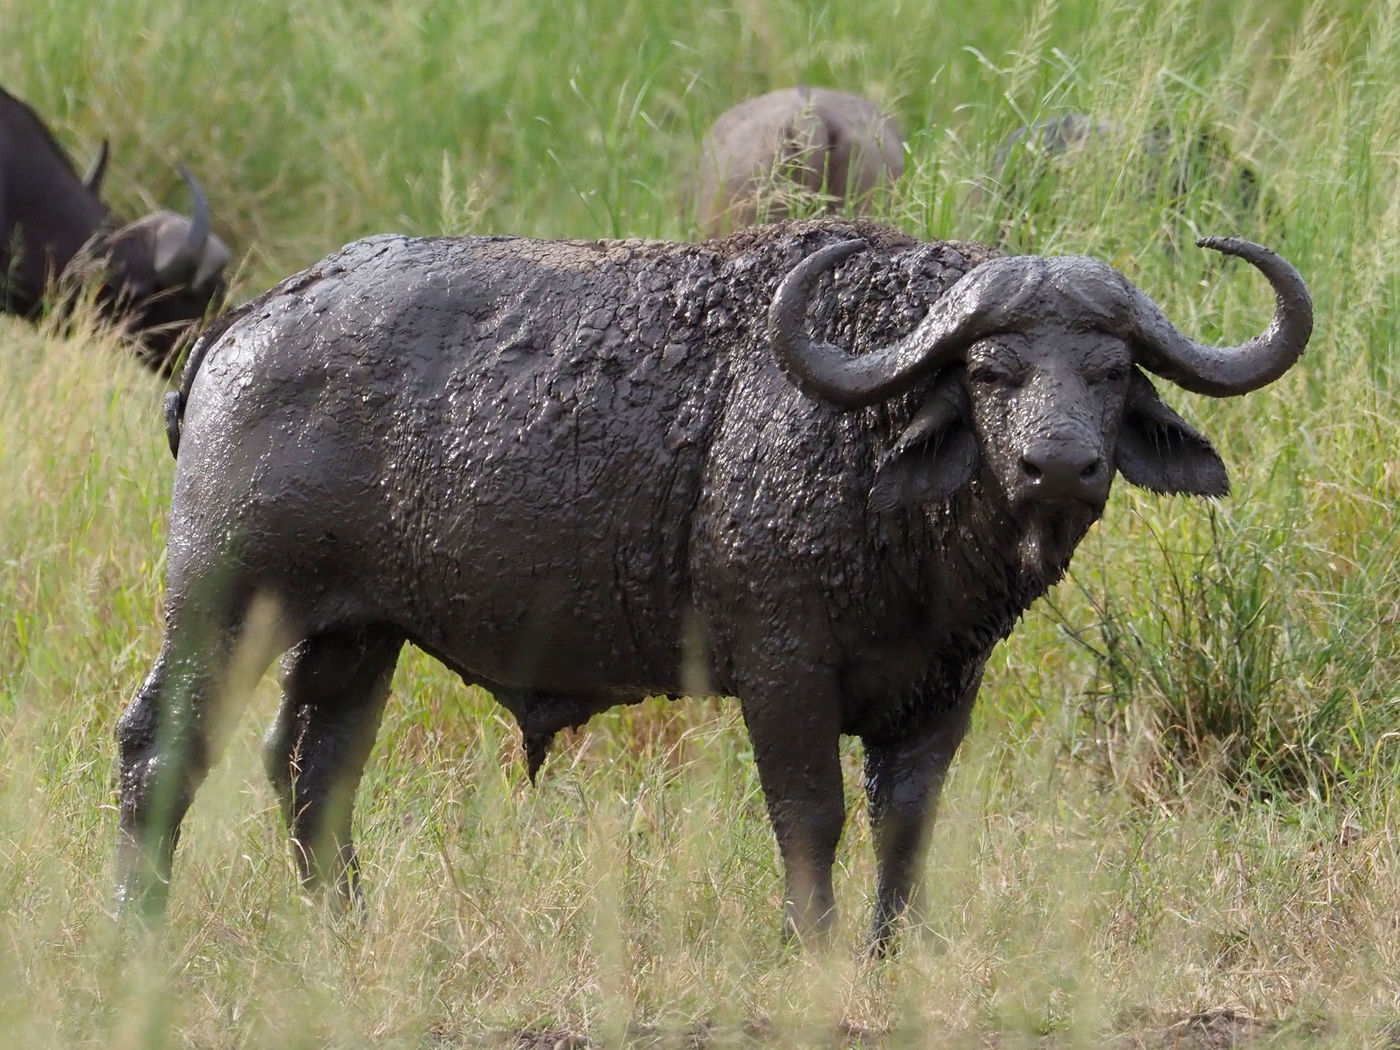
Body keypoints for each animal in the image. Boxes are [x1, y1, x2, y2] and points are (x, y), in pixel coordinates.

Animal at [120, 218, 1310, 952]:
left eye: (1110, 370)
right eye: (991, 369)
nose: (1058, 465)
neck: (861, 448)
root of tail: (246, 323)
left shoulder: (944, 686)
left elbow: (907, 819)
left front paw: (894, 949)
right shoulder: (782, 669)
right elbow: (811, 812)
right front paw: (814, 947)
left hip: (357, 634)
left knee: (313, 768)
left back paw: (348, 927)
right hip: (221, 603)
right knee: (161, 746)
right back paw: (139, 928)